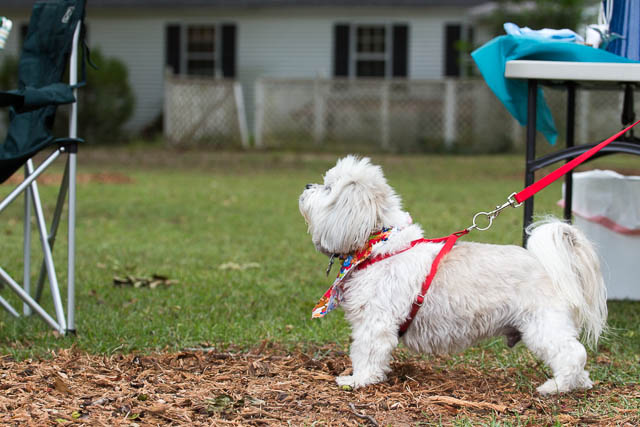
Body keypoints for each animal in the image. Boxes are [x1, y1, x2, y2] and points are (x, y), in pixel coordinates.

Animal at [298, 155, 608, 396]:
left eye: (328, 188)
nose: (307, 185)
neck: (377, 247)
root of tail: (544, 265)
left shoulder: (375, 322)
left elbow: (365, 353)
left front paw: (357, 380)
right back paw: (578, 383)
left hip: (543, 325)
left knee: (572, 354)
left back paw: (556, 387)